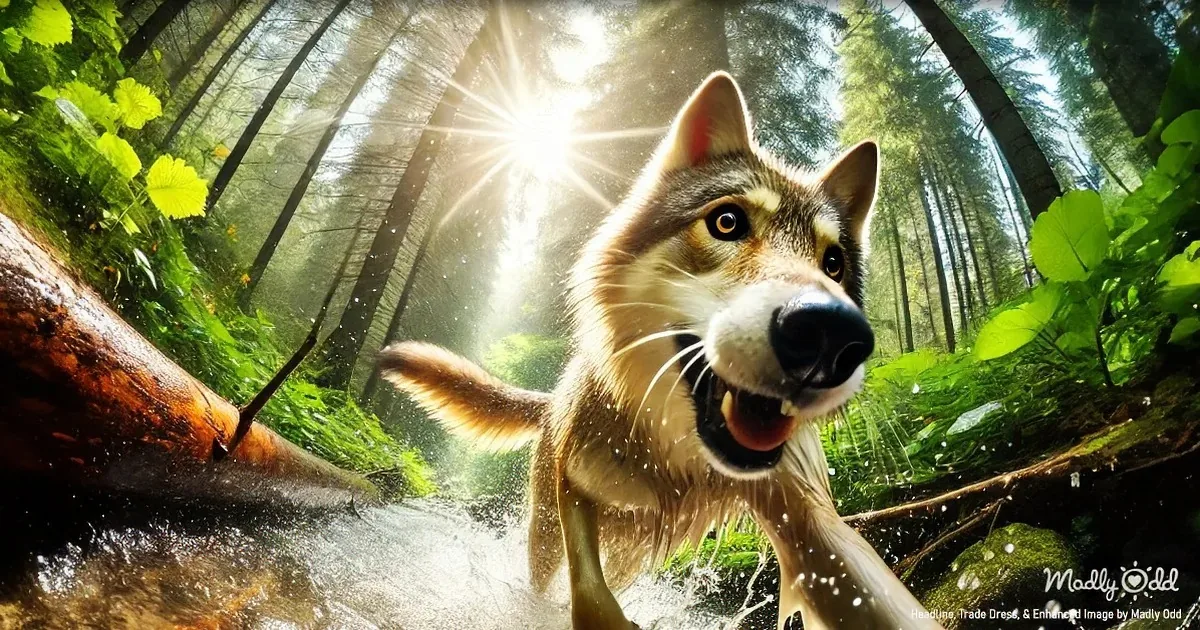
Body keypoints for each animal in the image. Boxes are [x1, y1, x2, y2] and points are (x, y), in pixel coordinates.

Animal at [380, 72, 942, 630]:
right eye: (727, 222)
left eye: (833, 263)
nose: (831, 334)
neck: (676, 458)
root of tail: (553, 395)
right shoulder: (574, 480)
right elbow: (587, 586)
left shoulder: (803, 513)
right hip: (550, 533)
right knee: (546, 580)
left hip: (634, 549)